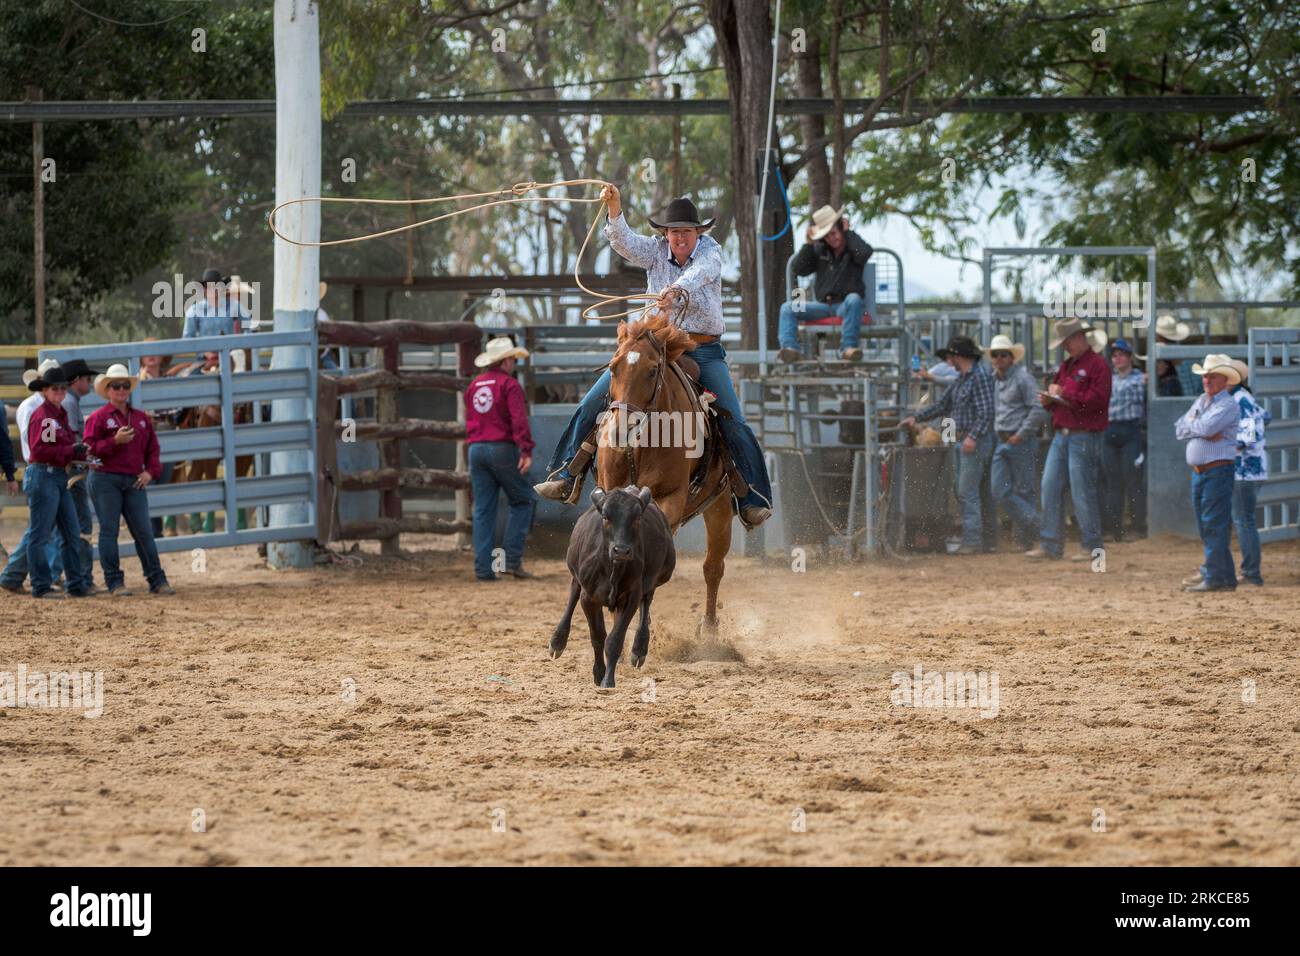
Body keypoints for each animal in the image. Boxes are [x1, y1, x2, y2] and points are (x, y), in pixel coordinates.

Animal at [592, 308, 733, 634]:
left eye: (652, 370)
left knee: (713, 567)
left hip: (720, 507)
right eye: (613, 368)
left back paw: (709, 631)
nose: (620, 432)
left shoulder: (670, 499)